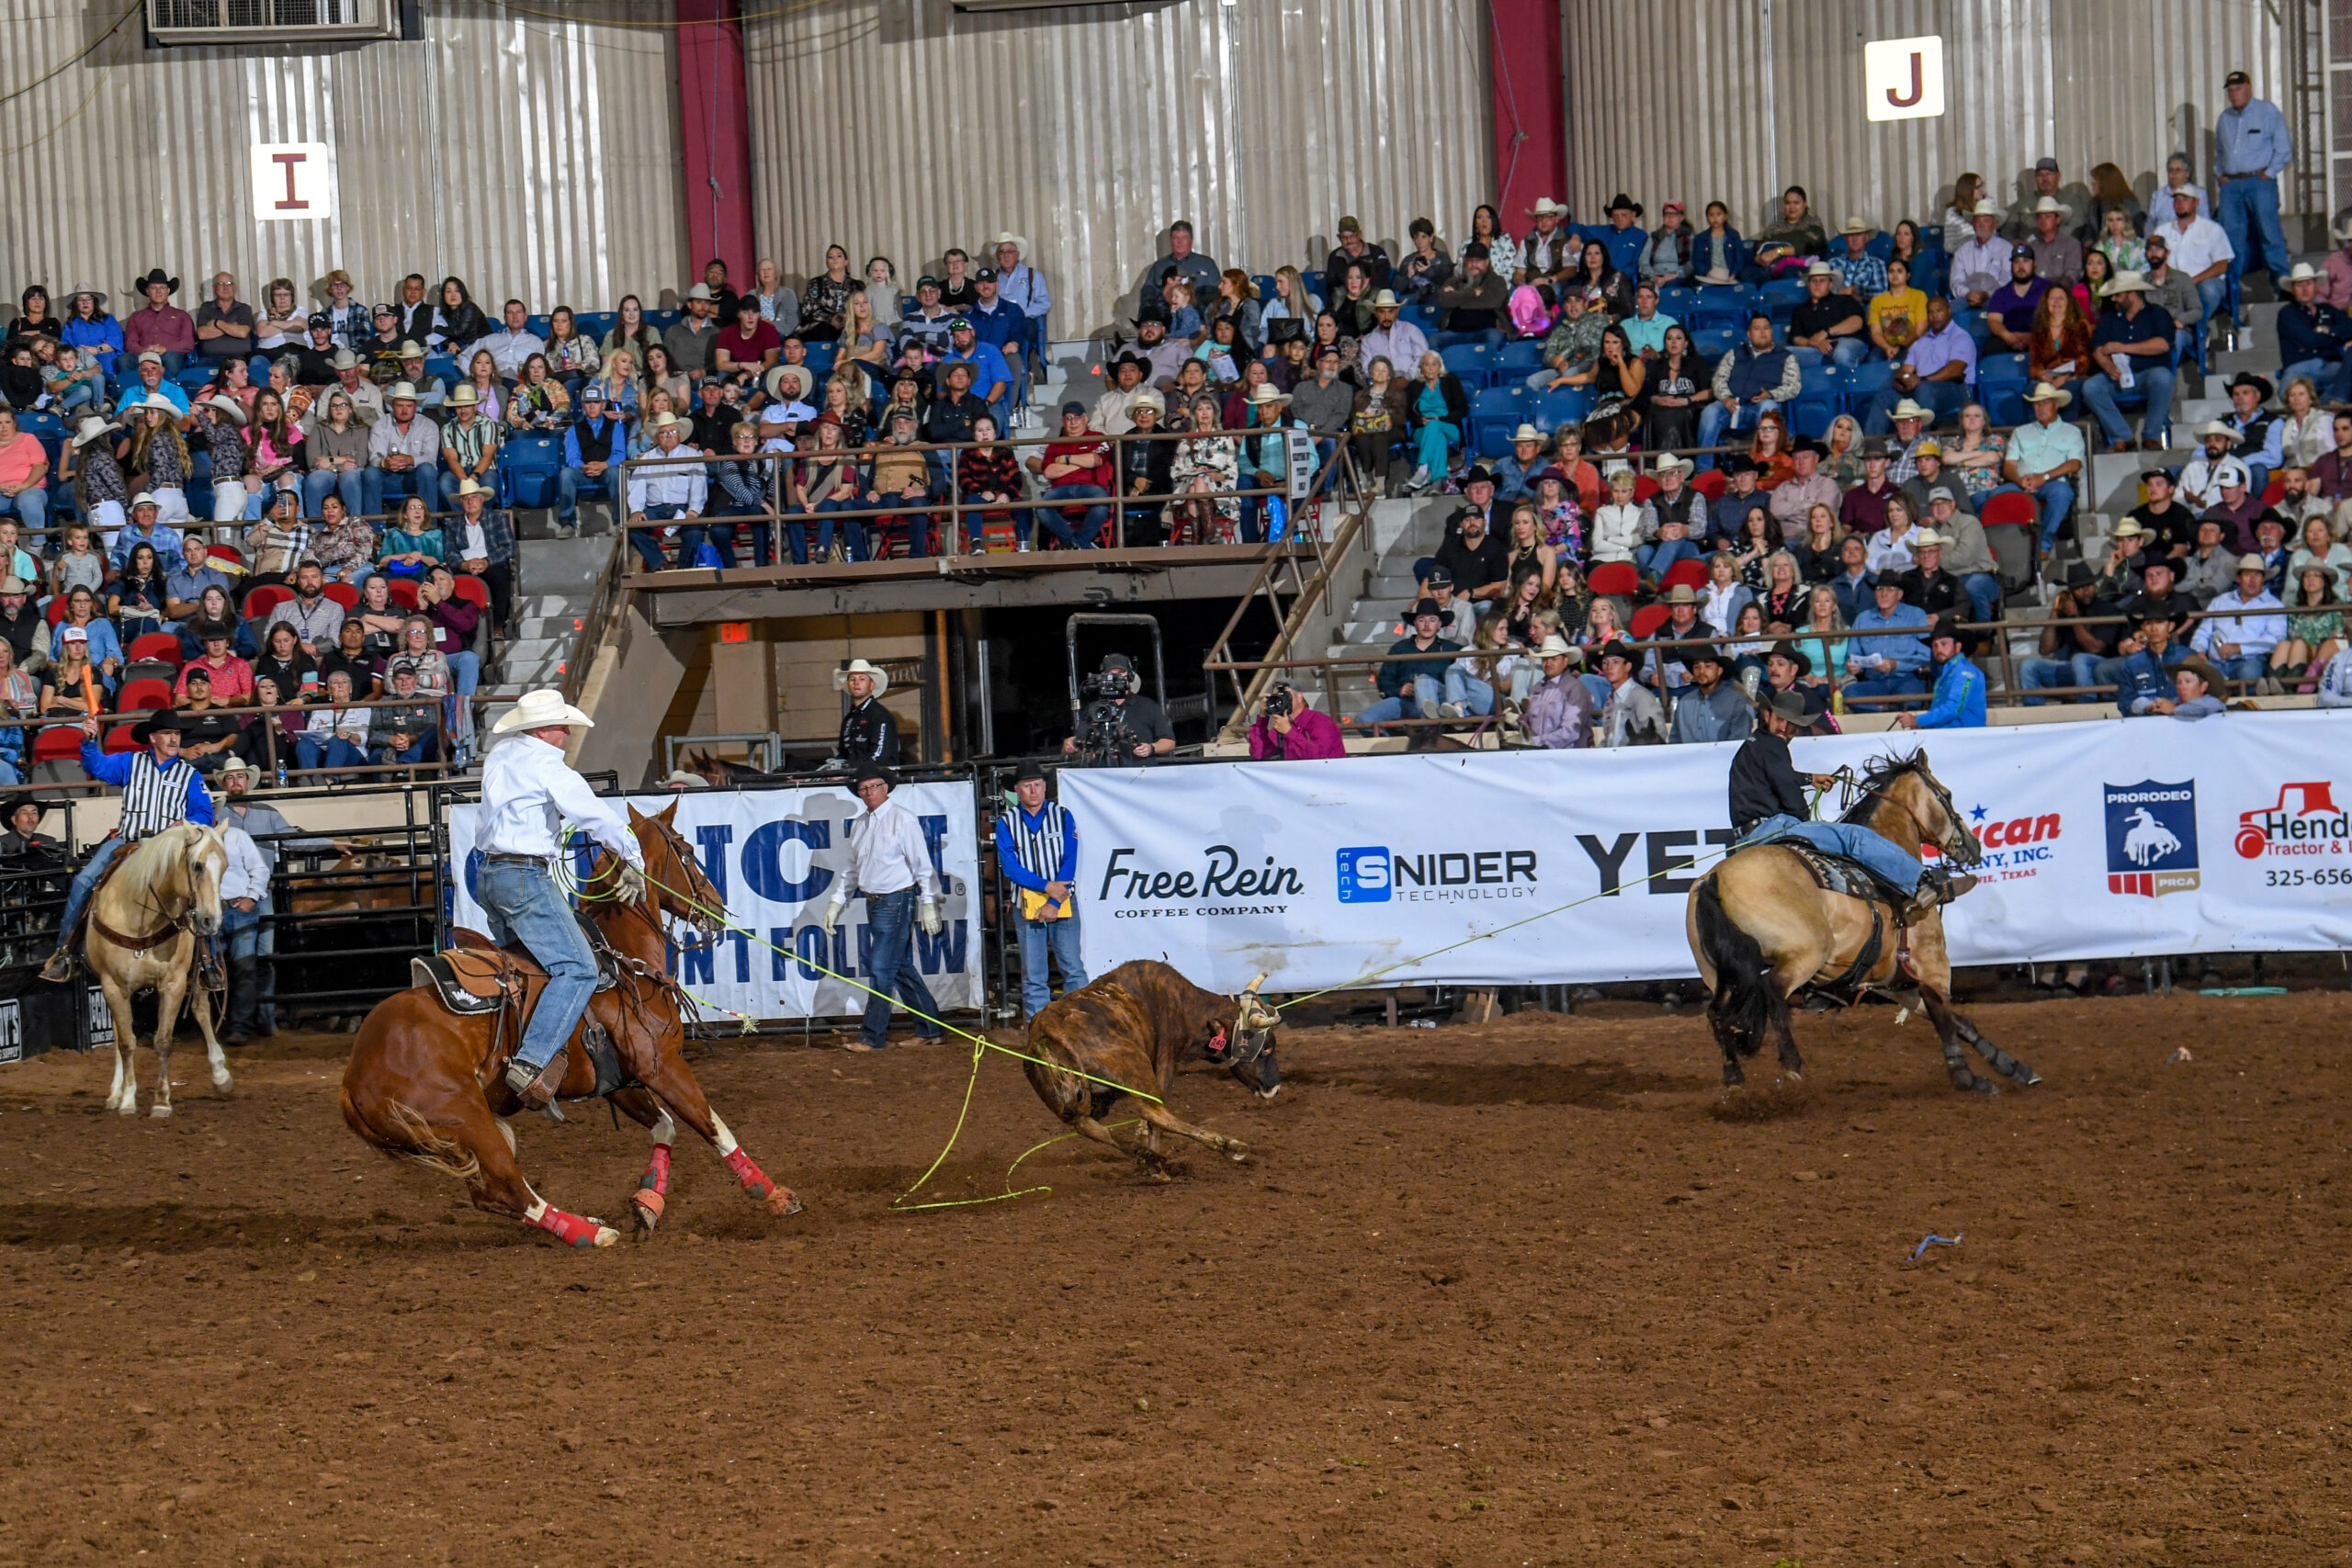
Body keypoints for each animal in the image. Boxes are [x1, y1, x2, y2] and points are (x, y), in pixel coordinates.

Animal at [85, 827, 232, 1123]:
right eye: (197, 866)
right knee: (118, 1033)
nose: (211, 921)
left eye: (225, 866)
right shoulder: (112, 986)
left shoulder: (173, 984)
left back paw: (220, 1074)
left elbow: (163, 1041)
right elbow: (126, 1042)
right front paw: (127, 1099)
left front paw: (161, 1102)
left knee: (201, 1010)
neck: (141, 919)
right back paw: (115, 1093)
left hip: (198, 970)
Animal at [338, 804, 799, 1241]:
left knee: (491, 1195)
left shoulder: (617, 1080)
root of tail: (353, 1077)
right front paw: (774, 1195)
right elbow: (714, 1127)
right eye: (686, 852)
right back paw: (590, 1234)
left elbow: (665, 1128)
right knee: (508, 1188)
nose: (717, 907)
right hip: (465, 1116)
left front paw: (647, 1203)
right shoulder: (661, 1066)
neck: (622, 959)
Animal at [1025, 959, 1288, 1175]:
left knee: (1090, 1127)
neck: (1183, 1005)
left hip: (1072, 1103)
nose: (1273, 1089)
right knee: (1153, 1111)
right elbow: (1155, 1117)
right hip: (1135, 1064)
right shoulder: (1165, 1062)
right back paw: (1226, 1146)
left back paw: (1151, 1162)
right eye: (1266, 1048)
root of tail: (1045, 1033)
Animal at [1693, 751, 2041, 1100]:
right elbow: (1943, 1016)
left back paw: (1733, 1074)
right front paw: (1966, 1077)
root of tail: (1714, 879)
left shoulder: (1893, 981)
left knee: (1718, 1013)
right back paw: (1791, 1063)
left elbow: (1960, 1023)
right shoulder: (1931, 965)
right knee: (1773, 992)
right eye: (1948, 794)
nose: (1973, 845)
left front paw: (2016, 1068)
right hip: (1804, 956)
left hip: (1721, 974)